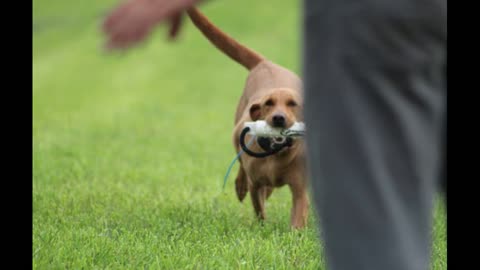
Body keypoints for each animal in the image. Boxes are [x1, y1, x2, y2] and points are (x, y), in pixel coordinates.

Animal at [188, 7, 308, 228]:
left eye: (293, 104)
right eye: (268, 103)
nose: (278, 118)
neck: (275, 155)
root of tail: (265, 63)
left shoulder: (300, 189)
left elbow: (297, 216)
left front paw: (295, 233)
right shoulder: (256, 183)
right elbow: (259, 208)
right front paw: (262, 226)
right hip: (237, 128)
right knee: (241, 165)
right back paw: (240, 185)